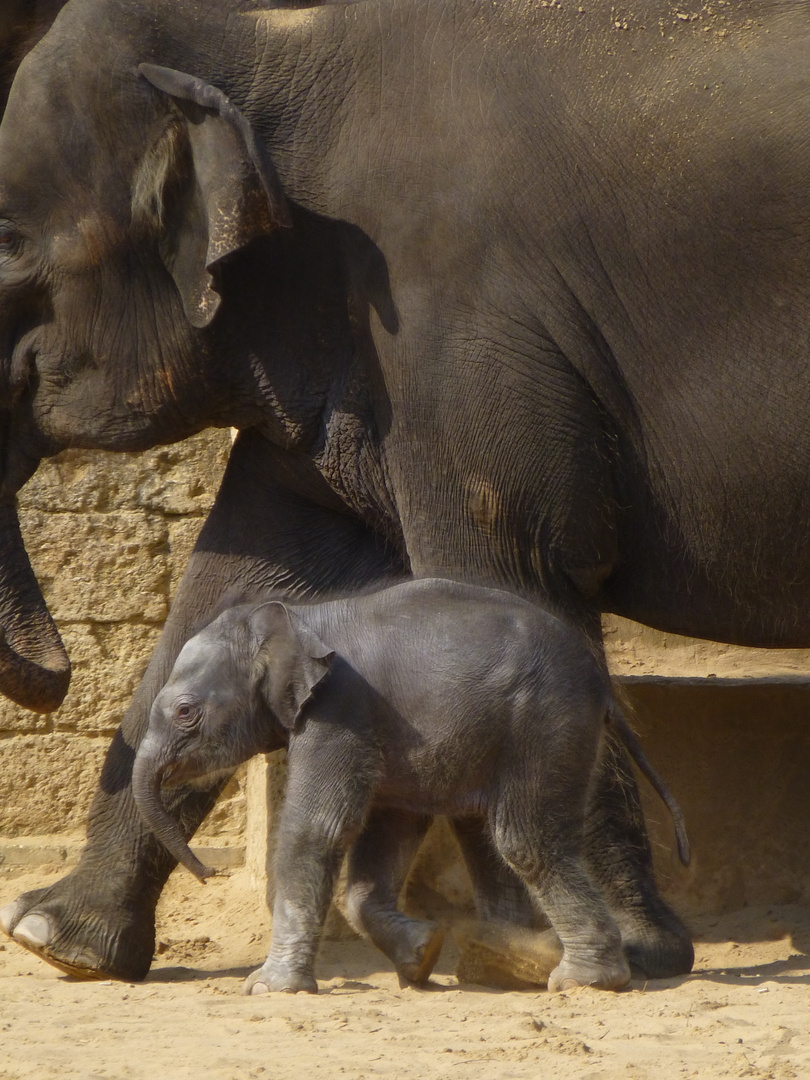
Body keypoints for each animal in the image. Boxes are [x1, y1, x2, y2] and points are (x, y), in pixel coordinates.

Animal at [133, 583, 691, 993]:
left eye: (185, 712)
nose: (208, 873)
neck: (300, 616)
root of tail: (602, 682)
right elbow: (385, 836)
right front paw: (422, 957)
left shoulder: (341, 711)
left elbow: (317, 829)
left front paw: (268, 989)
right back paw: (504, 963)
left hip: (546, 724)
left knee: (526, 840)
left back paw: (582, 980)